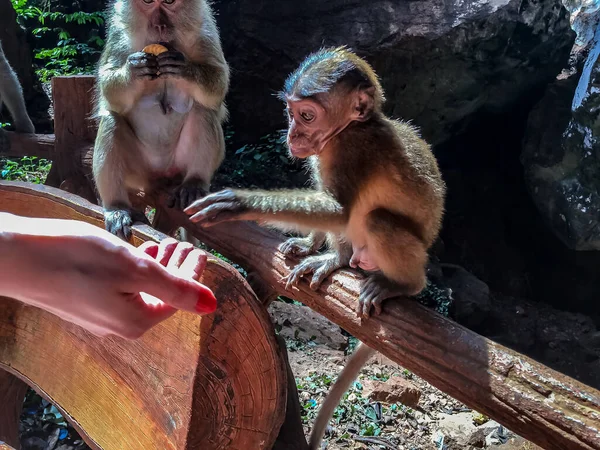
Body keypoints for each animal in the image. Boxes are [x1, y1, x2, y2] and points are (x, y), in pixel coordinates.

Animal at [93, 0, 230, 241]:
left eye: (168, 2)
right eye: (148, 2)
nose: (159, 26)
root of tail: (162, 176)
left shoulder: (204, 29)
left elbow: (218, 83)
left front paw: (185, 69)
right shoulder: (119, 33)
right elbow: (110, 91)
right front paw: (133, 69)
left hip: (180, 164)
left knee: (203, 111)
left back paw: (194, 182)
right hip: (139, 173)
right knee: (111, 120)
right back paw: (116, 207)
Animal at [186, 47, 446, 448]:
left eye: (307, 115)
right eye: (290, 113)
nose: (293, 133)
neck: (352, 128)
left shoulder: (349, 149)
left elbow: (339, 212)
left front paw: (240, 202)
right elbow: (331, 212)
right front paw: (310, 243)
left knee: (375, 219)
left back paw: (401, 283)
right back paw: (337, 259)